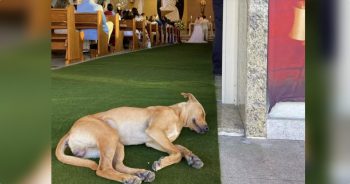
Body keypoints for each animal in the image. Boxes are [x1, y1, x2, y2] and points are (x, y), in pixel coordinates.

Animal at [54, 92, 208, 183]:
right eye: (203, 113)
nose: (207, 129)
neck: (177, 114)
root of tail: (70, 131)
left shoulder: (154, 141)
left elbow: (180, 148)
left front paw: (193, 158)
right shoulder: (155, 131)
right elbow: (176, 153)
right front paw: (163, 162)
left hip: (116, 144)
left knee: (116, 165)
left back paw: (141, 173)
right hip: (109, 135)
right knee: (103, 169)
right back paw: (128, 178)